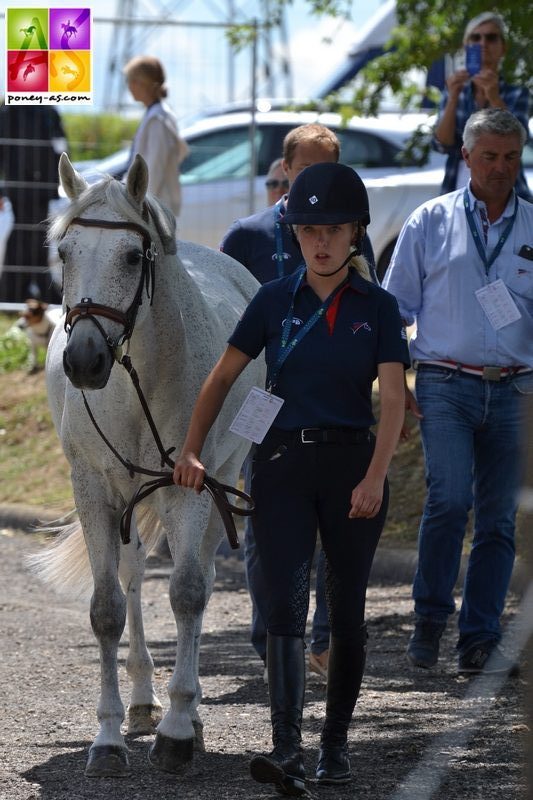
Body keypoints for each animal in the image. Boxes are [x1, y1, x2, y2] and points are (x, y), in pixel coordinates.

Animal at [31, 153, 264, 780]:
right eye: (65, 252)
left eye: (132, 257)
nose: (84, 361)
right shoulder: (95, 491)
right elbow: (108, 609)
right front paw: (109, 739)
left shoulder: (190, 488)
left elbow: (187, 593)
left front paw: (179, 731)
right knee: (135, 576)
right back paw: (140, 702)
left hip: (220, 482)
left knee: (198, 576)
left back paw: (189, 713)